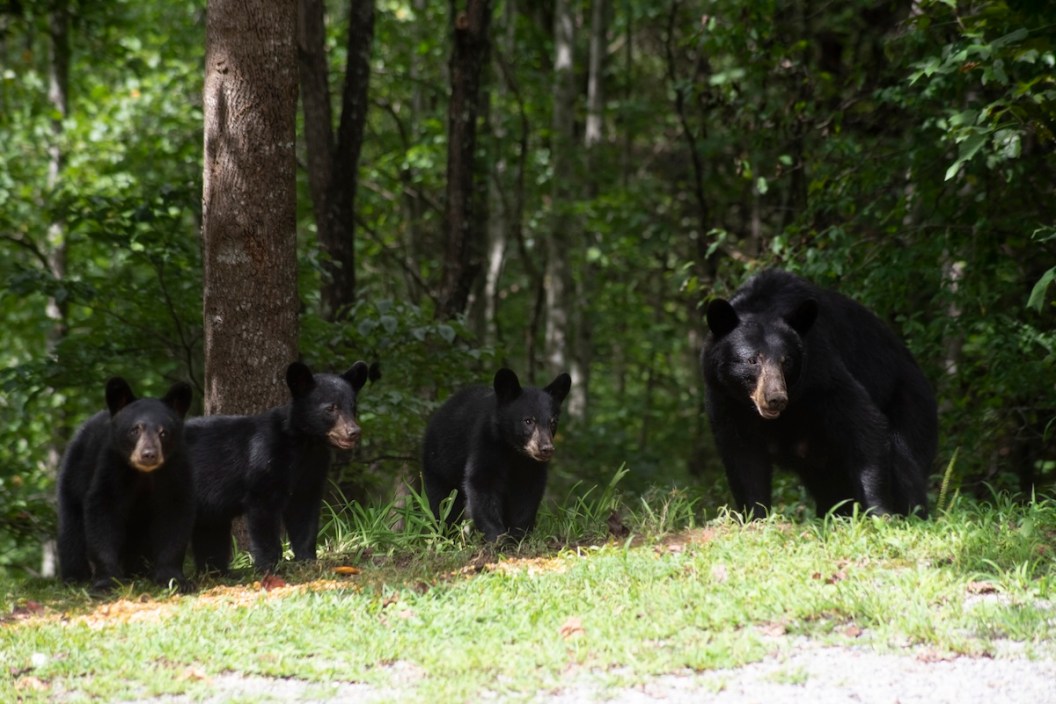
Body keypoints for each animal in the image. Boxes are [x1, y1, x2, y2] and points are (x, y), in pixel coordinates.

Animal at [57, 377, 194, 593]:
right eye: (135, 429)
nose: (149, 454)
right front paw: (106, 582)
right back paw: (75, 577)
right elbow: (103, 513)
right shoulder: (112, 468)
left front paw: (174, 579)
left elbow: (175, 516)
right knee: (71, 529)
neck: (144, 474)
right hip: (73, 477)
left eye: (164, 432)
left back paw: (138, 570)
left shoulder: (175, 470)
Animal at [186, 360, 369, 574]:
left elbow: (304, 513)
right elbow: (264, 513)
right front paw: (269, 566)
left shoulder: (313, 468)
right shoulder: (265, 460)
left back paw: (217, 572)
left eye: (353, 406)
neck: (305, 444)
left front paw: (307, 559)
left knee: (211, 531)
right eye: (331, 408)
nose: (353, 432)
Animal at [422, 368, 572, 543]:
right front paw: (497, 538)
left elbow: (528, 494)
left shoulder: (531, 466)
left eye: (553, 422)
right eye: (528, 420)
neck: (513, 451)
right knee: (443, 502)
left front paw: (518, 535)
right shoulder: (485, 444)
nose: (546, 449)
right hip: (439, 463)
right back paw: (446, 535)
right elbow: (481, 484)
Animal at [701, 269, 938, 519]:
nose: (775, 399)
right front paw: (755, 516)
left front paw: (879, 512)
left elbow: (864, 423)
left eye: (787, 361)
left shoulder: (821, 371)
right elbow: (742, 456)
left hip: (910, 400)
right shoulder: (724, 397)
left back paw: (914, 513)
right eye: (752, 360)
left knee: (904, 459)